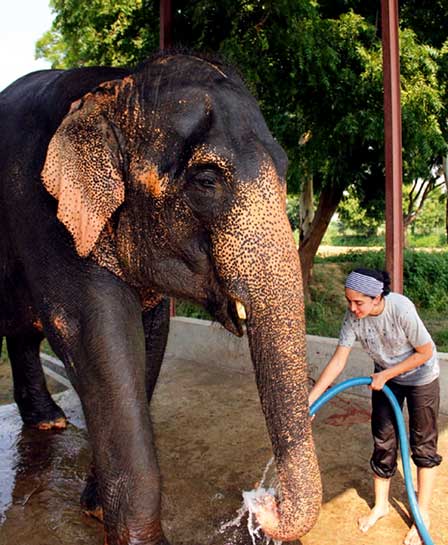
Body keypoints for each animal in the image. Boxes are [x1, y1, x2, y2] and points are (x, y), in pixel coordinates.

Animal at [0, 54, 322, 544]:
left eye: (286, 167)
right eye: (206, 179)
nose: (265, 506)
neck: (114, 87)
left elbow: (149, 337)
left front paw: (96, 508)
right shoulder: (44, 213)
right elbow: (96, 331)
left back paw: (49, 421)